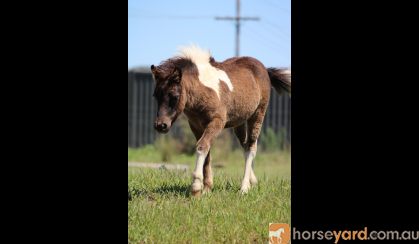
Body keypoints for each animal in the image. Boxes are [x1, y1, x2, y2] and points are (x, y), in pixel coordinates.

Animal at [151, 44, 292, 195]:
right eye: (156, 96)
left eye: (174, 96)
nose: (161, 125)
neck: (202, 90)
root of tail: (264, 68)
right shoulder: (195, 125)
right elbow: (207, 153)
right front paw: (207, 188)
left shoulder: (217, 121)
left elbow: (201, 147)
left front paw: (196, 187)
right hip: (239, 123)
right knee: (245, 146)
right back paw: (252, 181)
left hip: (258, 114)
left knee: (251, 147)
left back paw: (244, 188)